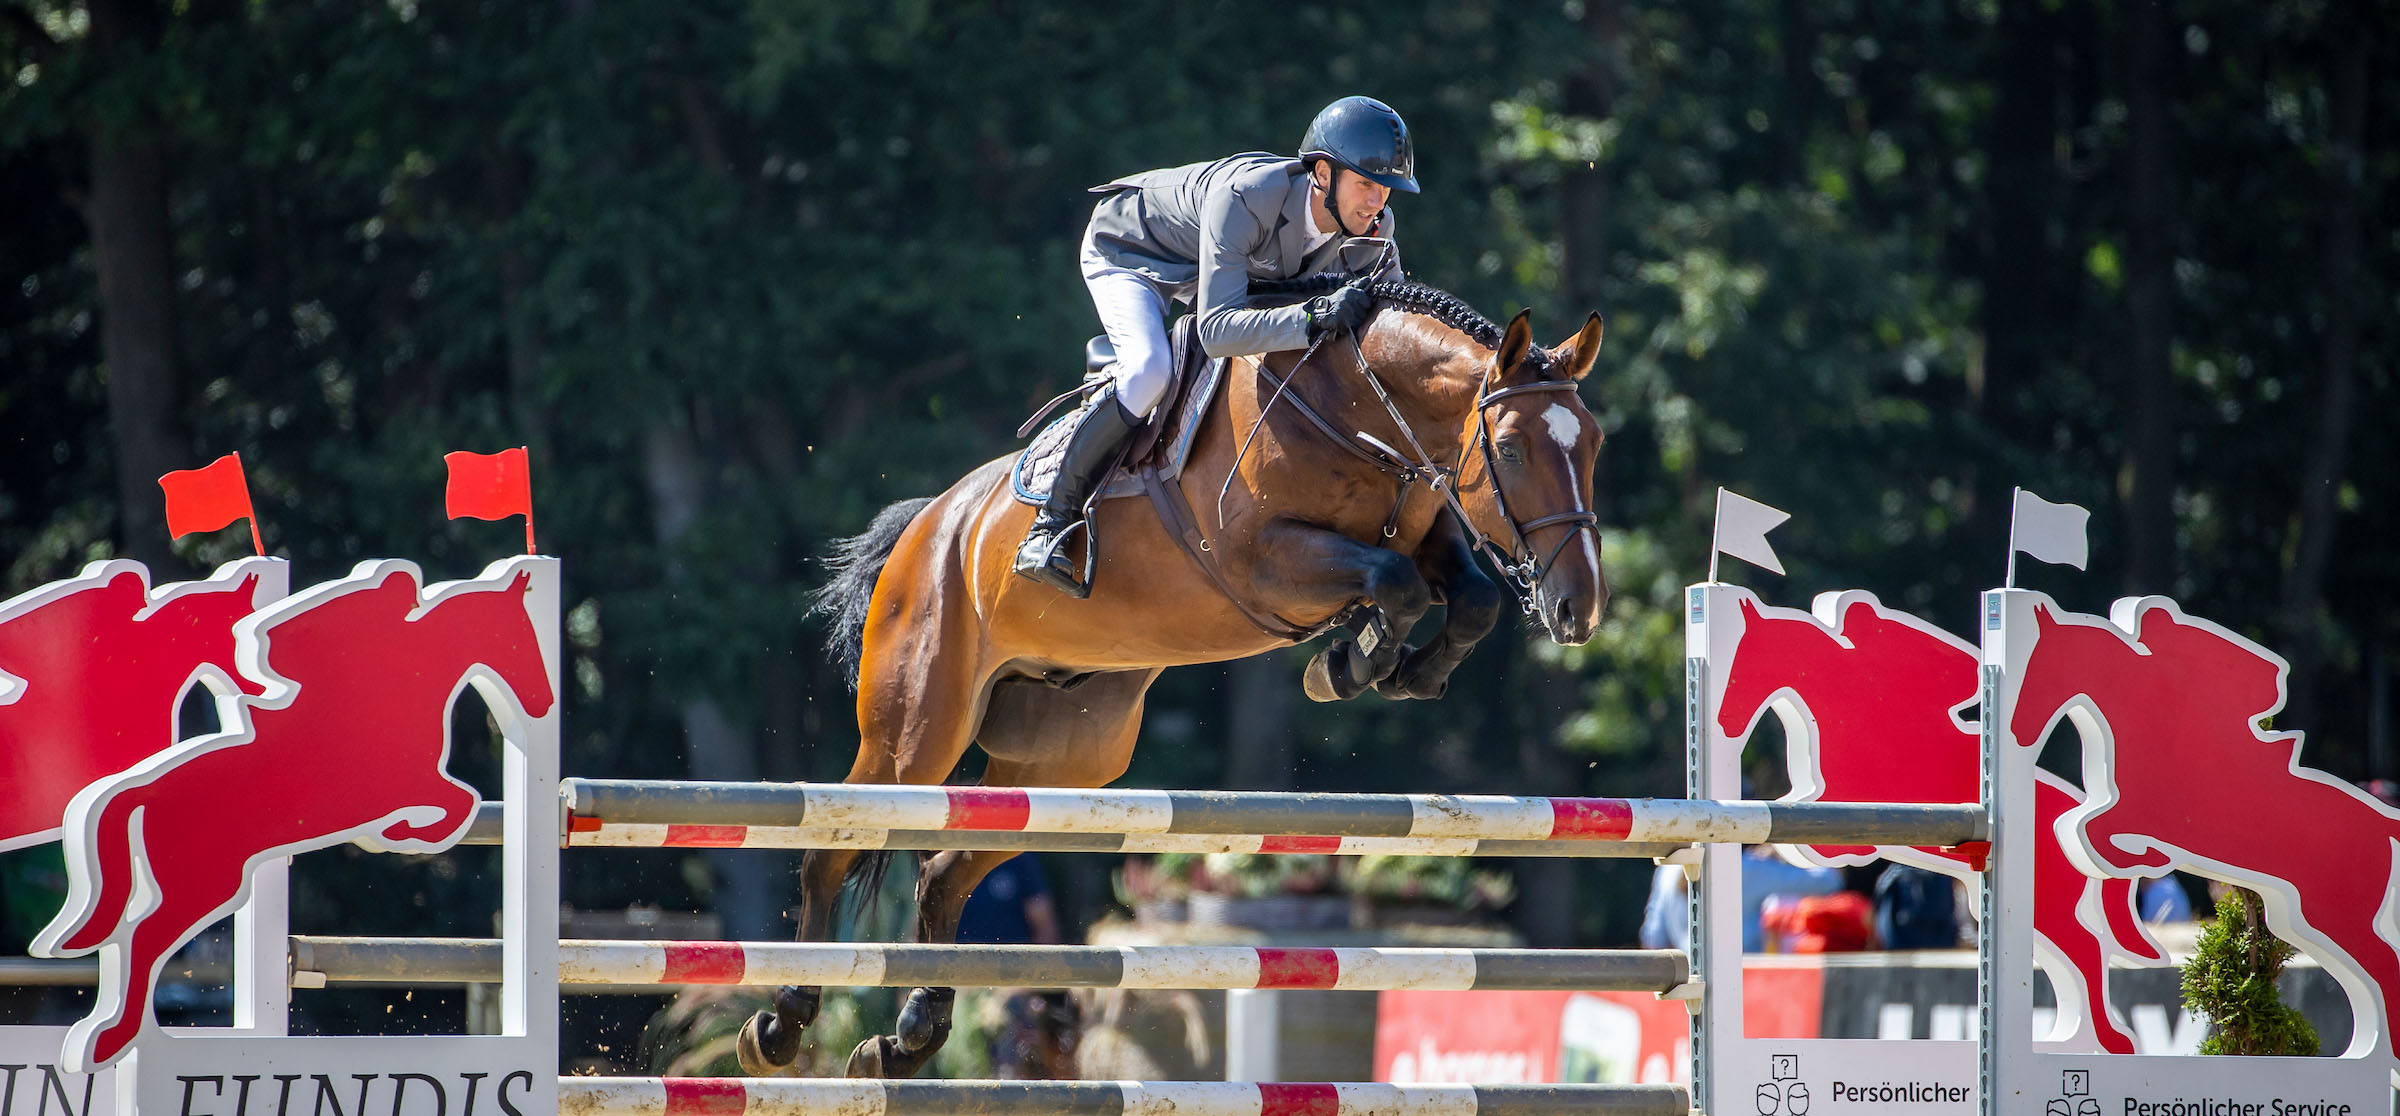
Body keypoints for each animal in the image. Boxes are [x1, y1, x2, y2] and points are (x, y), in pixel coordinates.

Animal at [739, 283, 1612, 1075]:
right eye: (1510, 450)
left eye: (1594, 446)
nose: (1580, 607)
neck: (1355, 410)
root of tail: (928, 523)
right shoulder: (1265, 562)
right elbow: (1393, 581)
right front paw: (1350, 662)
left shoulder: (1428, 532)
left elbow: (1469, 599)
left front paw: (1391, 669)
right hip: (916, 735)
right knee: (832, 849)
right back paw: (783, 1023)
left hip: (1063, 766)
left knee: (944, 875)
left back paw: (908, 1037)